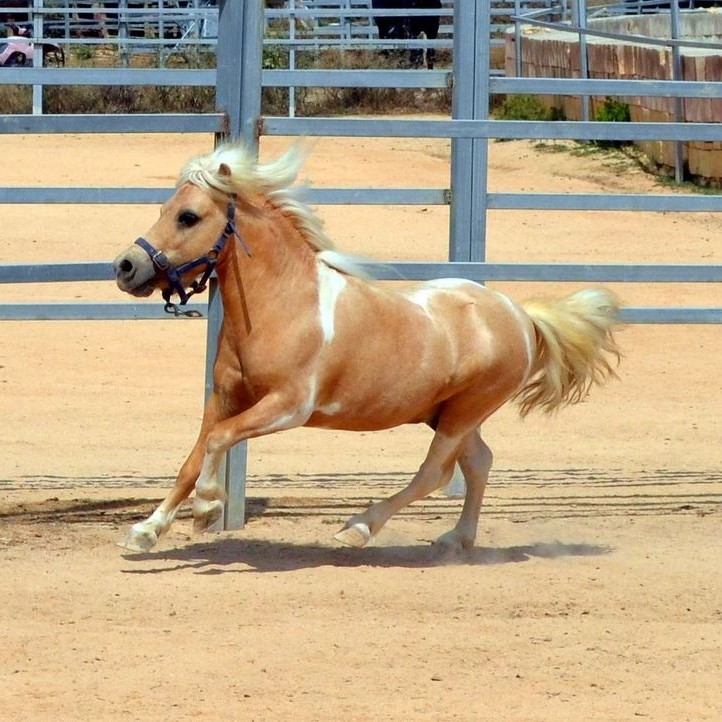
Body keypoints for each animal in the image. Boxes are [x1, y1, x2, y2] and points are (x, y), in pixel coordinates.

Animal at [112, 142, 621, 554]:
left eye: (189, 216)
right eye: (166, 208)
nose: (126, 266)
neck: (286, 306)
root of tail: (520, 315)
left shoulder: (287, 407)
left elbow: (217, 441)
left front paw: (206, 510)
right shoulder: (224, 397)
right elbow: (192, 458)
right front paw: (145, 532)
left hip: (464, 413)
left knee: (434, 473)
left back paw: (356, 529)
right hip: (449, 413)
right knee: (479, 463)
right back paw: (455, 539)